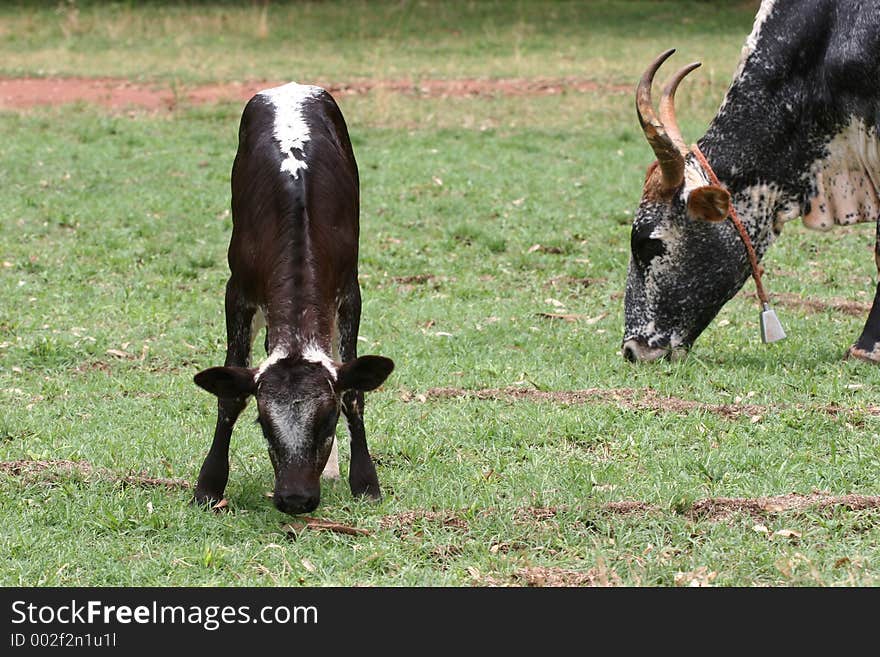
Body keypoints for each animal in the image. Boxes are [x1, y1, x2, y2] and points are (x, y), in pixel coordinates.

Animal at [198, 80, 398, 512]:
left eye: (328, 421)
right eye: (264, 424)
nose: (295, 497)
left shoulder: (350, 291)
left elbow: (353, 388)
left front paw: (365, 480)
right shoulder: (237, 291)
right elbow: (230, 393)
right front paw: (209, 484)